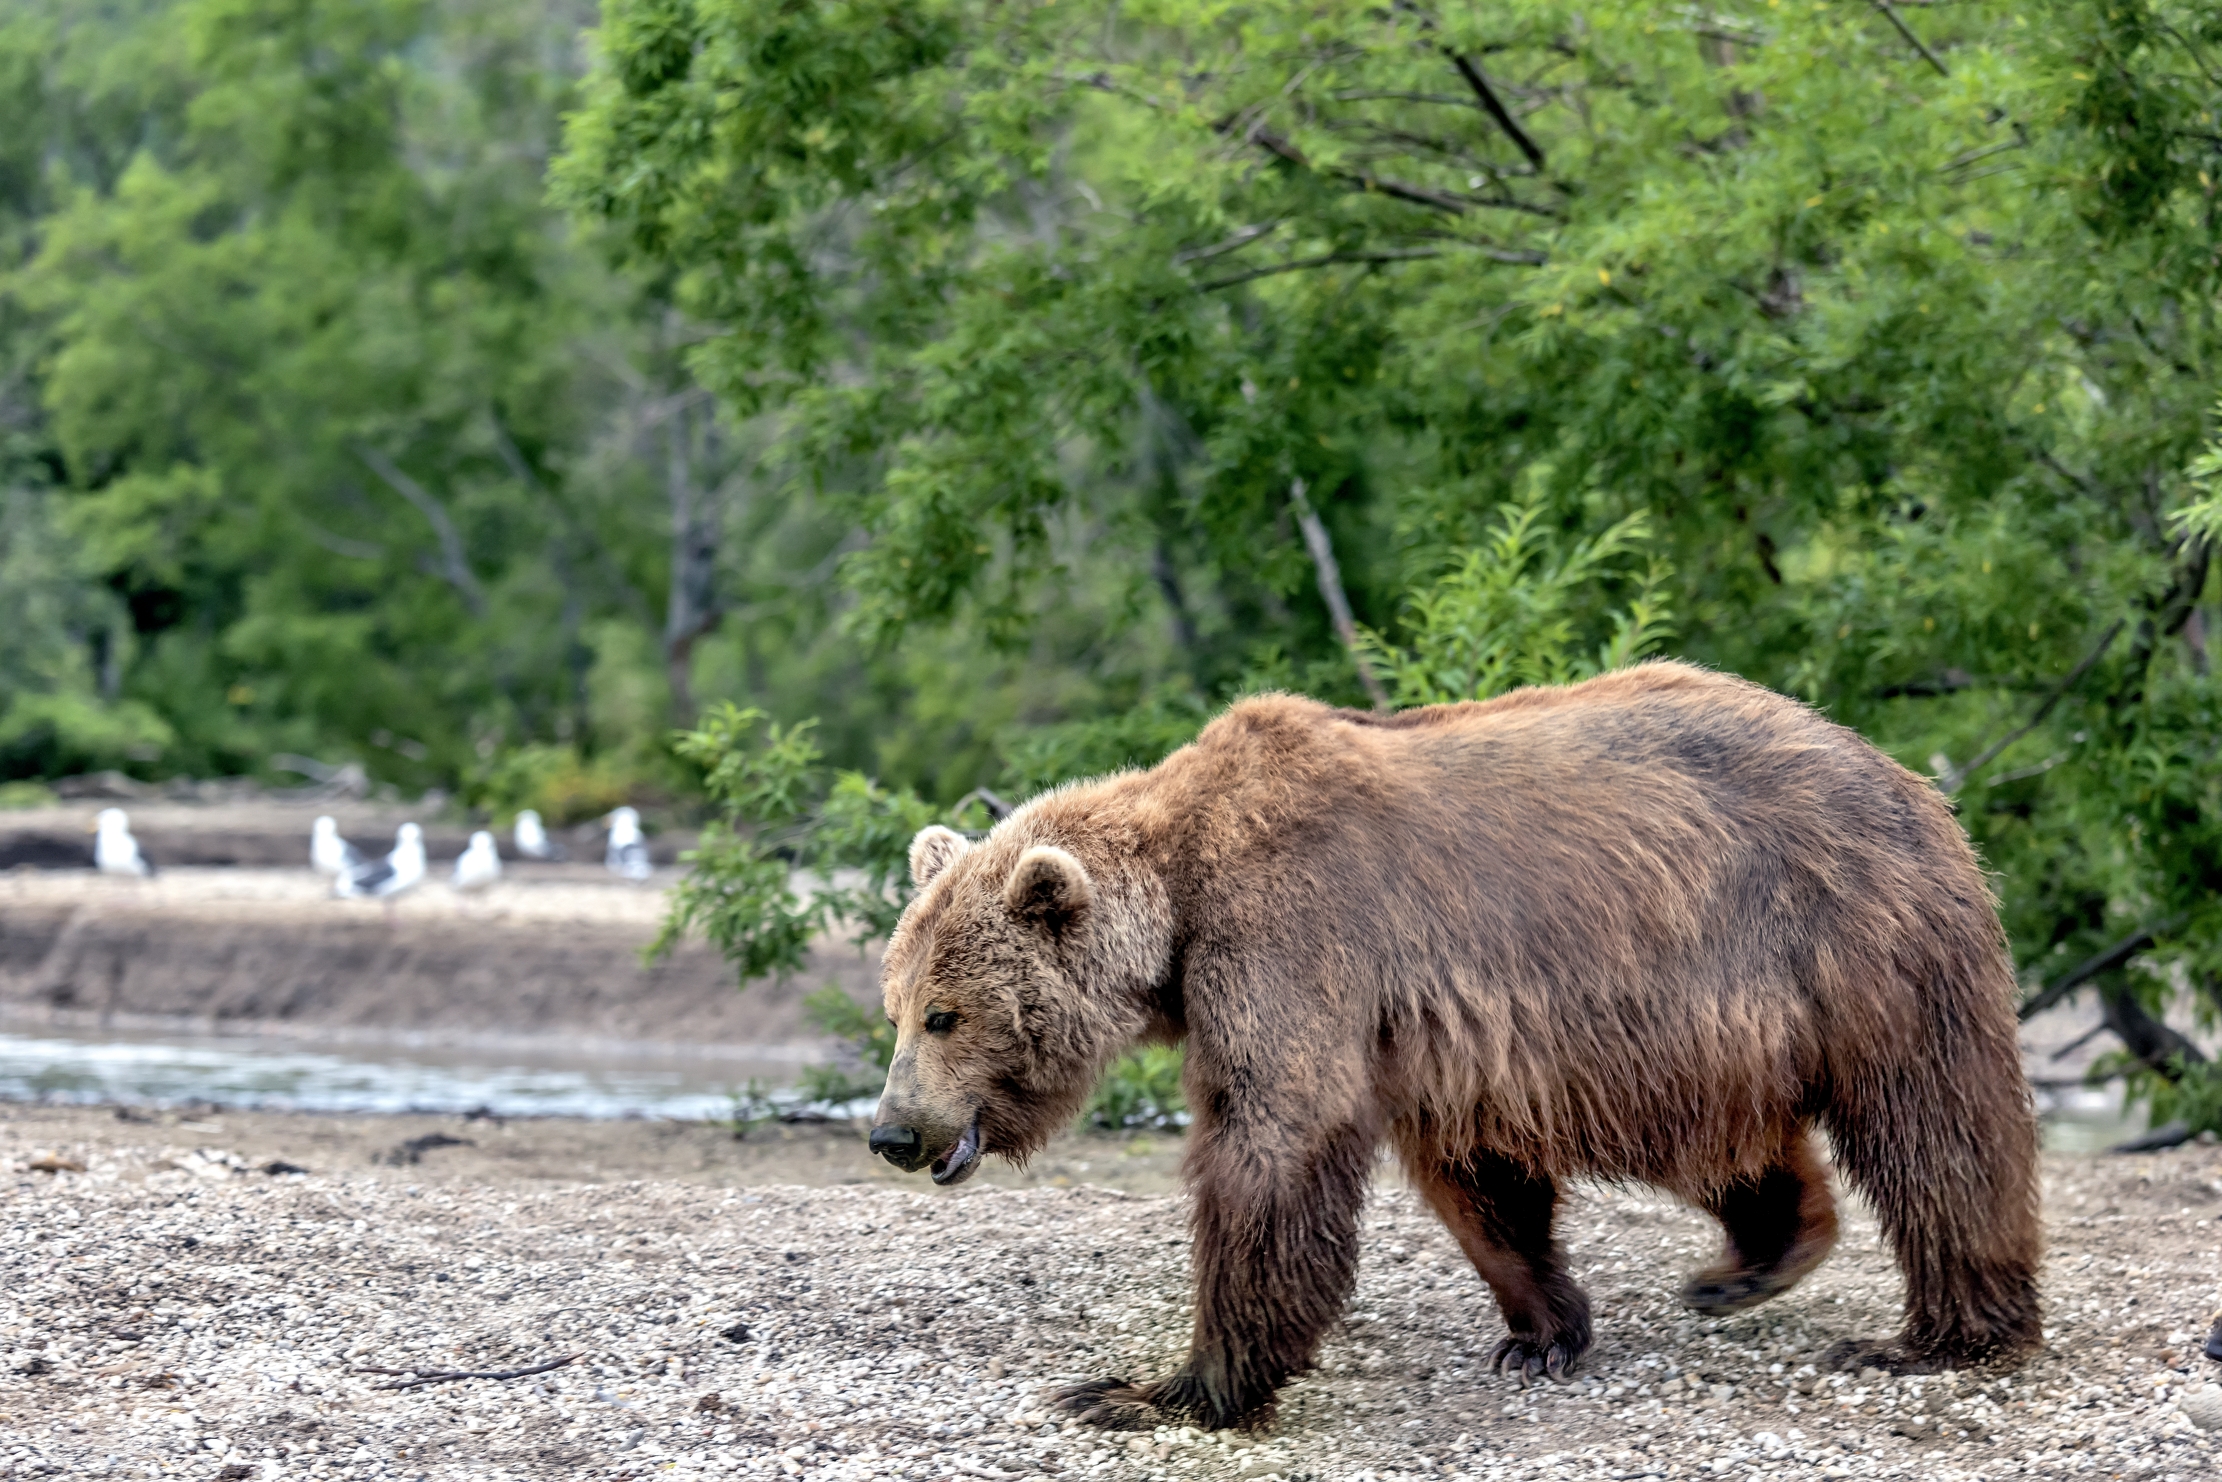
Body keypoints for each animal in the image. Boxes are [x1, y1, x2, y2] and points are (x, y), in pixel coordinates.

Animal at [865, 661, 2043, 1431]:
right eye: (896, 1004)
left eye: (945, 1013)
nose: (891, 1132)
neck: (1179, 897)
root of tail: (1905, 775)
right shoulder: (1428, 1030)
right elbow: (1474, 1174)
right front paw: (1539, 1330)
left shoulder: (1291, 934)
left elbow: (1273, 1141)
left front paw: (1157, 1388)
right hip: (1716, 1020)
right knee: (1737, 1142)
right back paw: (1748, 1262)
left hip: (1847, 936)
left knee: (1935, 1130)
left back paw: (1940, 1333)